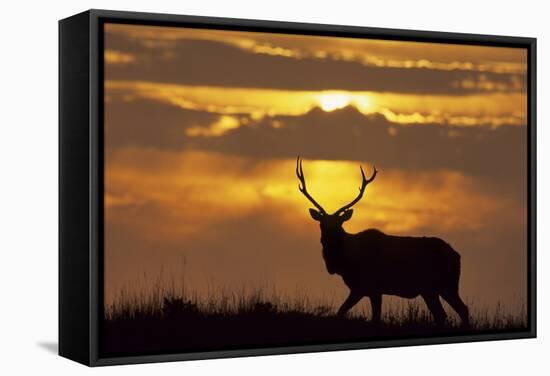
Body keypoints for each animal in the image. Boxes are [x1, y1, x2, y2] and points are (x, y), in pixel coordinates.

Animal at [298, 156, 470, 326]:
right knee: (446, 313)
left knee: (460, 310)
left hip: (445, 285)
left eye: (339, 224)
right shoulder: (363, 289)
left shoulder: (371, 287)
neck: (347, 263)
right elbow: (342, 311)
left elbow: (372, 317)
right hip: (432, 289)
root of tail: (457, 255)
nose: (328, 240)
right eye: (321, 224)